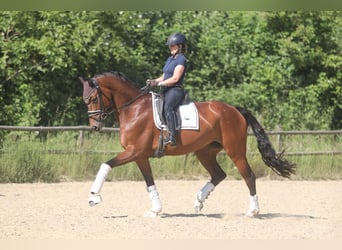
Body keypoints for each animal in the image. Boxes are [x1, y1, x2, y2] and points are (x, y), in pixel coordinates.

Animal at [79, 71, 296, 217]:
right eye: (84, 100)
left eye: (93, 98)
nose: (95, 127)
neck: (134, 108)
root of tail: (234, 109)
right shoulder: (140, 156)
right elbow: (149, 182)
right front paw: (155, 210)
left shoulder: (134, 152)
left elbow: (105, 165)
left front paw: (93, 197)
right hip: (205, 152)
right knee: (219, 174)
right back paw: (199, 201)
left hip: (235, 151)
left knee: (248, 176)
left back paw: (253, 211)